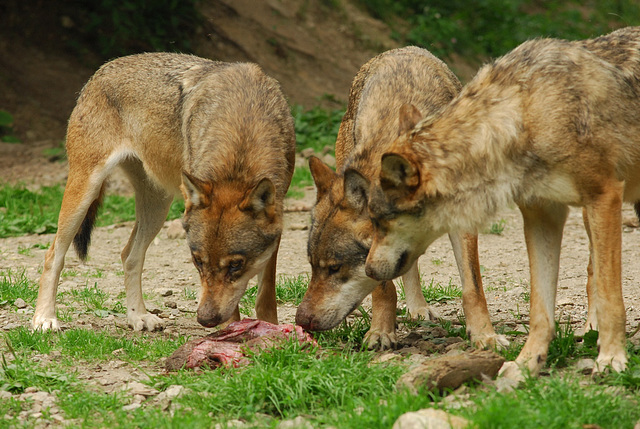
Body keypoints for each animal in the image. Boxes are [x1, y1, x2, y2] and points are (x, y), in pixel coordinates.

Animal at [31, 52, 296, 332]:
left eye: (236, 265)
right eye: (197, 261)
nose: (205, 319)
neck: (243, 128)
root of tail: (101, 70)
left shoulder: (277, 220)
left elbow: (266, 293)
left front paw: (271, 330)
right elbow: (233, 305)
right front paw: (233, 332)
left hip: (158, 206)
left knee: (129, 255)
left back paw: (138, 316)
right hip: (85, 192)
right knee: (53, 255)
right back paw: (44, 319)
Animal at [292, 46, 508, 348]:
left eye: (335, 268)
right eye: (312, 266)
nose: (300, 320)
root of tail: (400, 49)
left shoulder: (463, 221)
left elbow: (473, 288)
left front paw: (485, 336)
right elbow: (384, 289)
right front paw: (380, 332)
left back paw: (418, 309)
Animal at [362, 26, 640, 376]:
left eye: (378, 221)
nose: (368, 270)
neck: (526, 115)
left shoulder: (604, 195)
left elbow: (610, 294)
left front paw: (612, 357)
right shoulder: (541, 214)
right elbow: (539, 309)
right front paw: (526, 365)